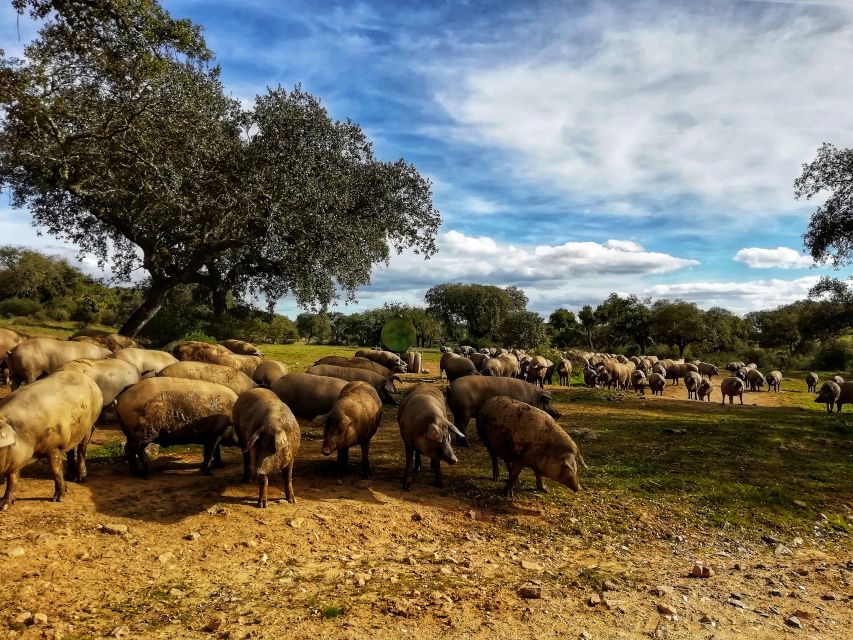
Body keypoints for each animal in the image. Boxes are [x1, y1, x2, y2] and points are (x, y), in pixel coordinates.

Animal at [0, 370, 103, 510]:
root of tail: (90, 380)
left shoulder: (54, 445)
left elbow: (55, 471)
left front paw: (59, 499)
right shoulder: (14, 458)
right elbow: (12, 478)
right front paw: (3, 506)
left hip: (90, 422)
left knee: (82, 449)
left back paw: (79, 478)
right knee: (70, 451)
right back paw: (70, 476)